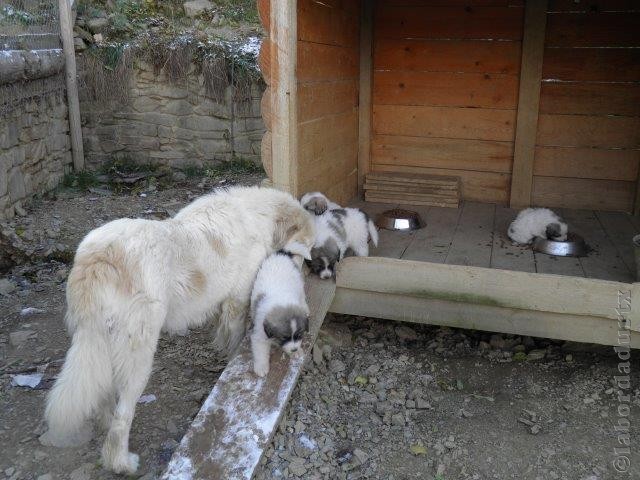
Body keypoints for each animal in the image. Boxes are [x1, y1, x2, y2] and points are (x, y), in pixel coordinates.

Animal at [38, 186, 314, 474]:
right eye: (303, 251)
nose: (300, 272)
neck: (260, 216)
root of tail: (100, 258)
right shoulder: (238, 302)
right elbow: (236, 335)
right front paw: (231, 359)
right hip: (138, 355)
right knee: (123, 416)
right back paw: (122, 462)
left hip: (96, 341)